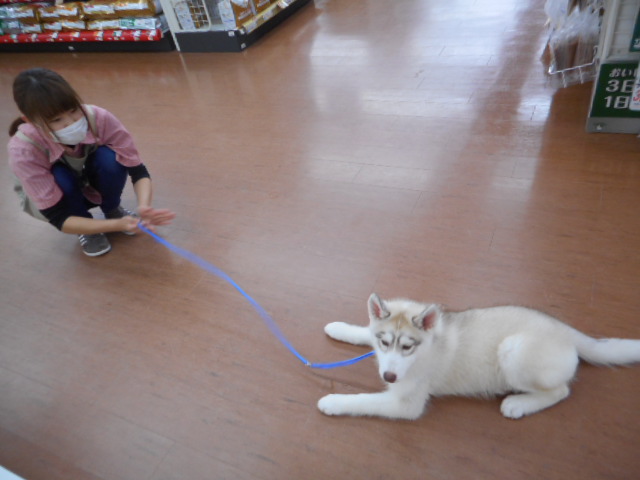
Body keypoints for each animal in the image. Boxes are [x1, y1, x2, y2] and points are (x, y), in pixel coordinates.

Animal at [317, 293, 640, 420]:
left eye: (408, 347)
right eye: (384, 343)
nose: (389, 376)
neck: (427, 347)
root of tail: (567, 331)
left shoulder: (406, 404)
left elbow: (362, 400)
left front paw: (333, 401)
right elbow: (364, 331)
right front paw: (340, 328)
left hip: (513, 350)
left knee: (561, 391)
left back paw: (519, 404)